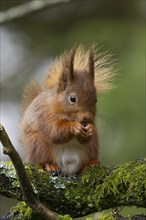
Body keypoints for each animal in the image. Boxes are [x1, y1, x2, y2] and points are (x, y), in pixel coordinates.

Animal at [20, 45, 114, 174]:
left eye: (95, 100)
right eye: (72, 98)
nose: (86, 117)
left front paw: (91, 128)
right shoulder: (45, 115)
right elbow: (55, 131)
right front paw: (73, 127)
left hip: (91, 147)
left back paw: (90, 163)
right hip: (39, 145)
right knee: (41, 160)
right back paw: (50, 165)